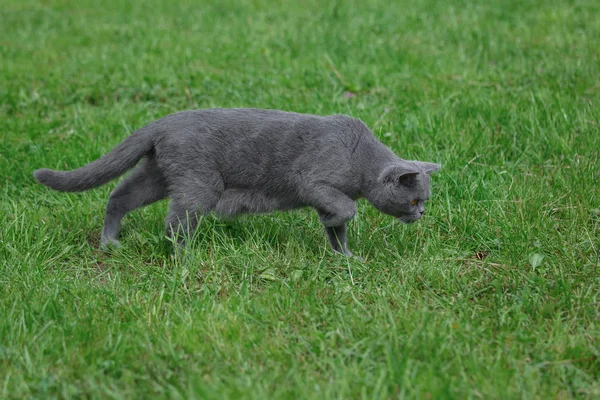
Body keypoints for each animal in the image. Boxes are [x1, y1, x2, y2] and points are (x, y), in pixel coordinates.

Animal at [34, 108, 440, 256]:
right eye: (414, 201)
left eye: (425, 202)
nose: (421, 216)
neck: (360, 158)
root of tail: (162, 122)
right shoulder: (314, 183)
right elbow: (345, 209)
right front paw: (337, 222)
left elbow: (337, 232)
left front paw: (345, 257)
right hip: (199, 183)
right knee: (175, 224)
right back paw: (185, 257)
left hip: (159, 175)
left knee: (119, 195)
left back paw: (110, 242)